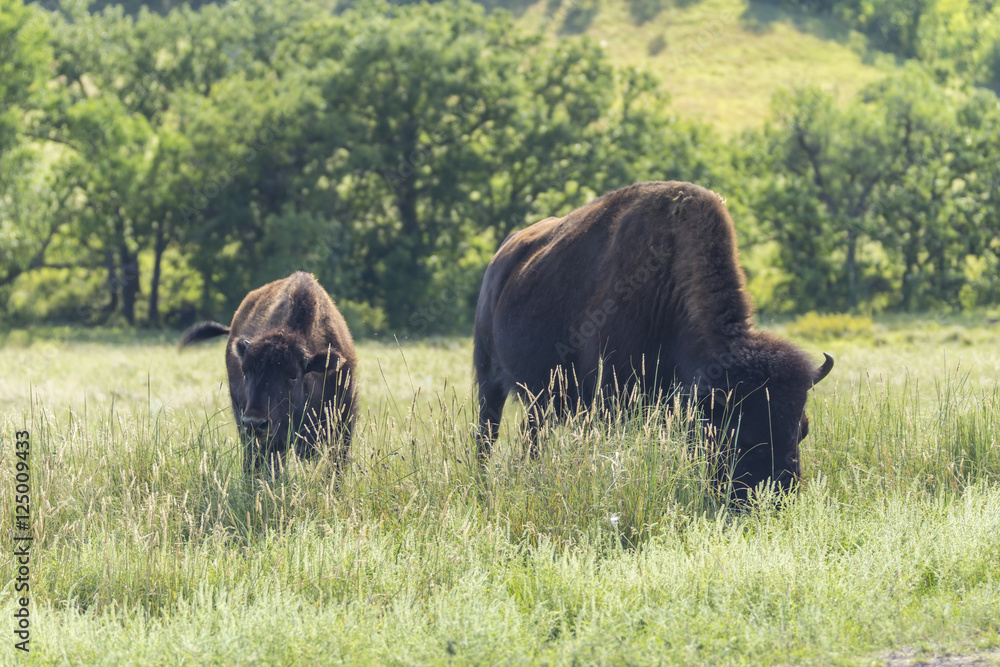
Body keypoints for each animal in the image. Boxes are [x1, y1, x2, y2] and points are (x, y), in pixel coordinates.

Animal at [472, 180, 832, 504]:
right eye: (740, 436)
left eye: (802, 429)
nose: (778, 498)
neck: (667, 287)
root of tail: (500, 260)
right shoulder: (610, 399)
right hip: (489, 379)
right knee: (486, 435)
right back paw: (483, 485)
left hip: (541, 400)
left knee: (531, 435)